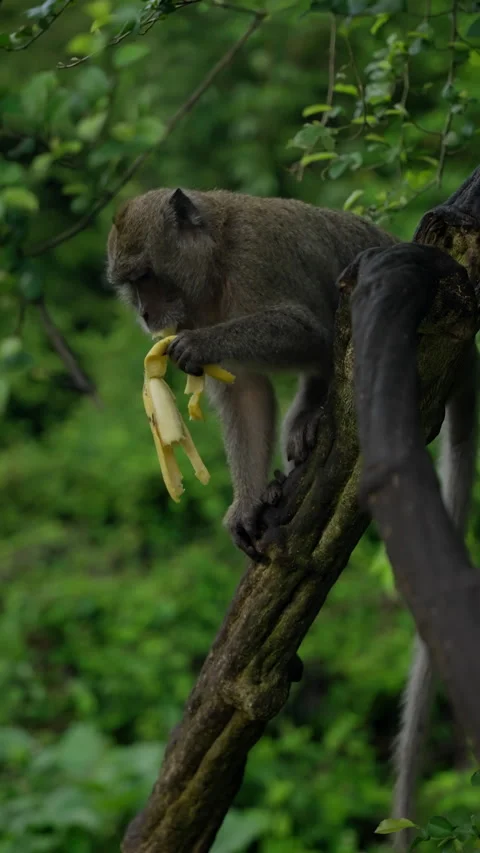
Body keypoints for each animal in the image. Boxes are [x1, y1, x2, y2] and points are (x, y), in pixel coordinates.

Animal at [106, 186, 397, 559]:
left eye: (145, 276)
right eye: (131, 284)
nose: (144, 313)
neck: (218, 257)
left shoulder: (257, 258)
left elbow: (309, 331)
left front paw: (199, 344)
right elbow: (246, 395)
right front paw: (246, 506)